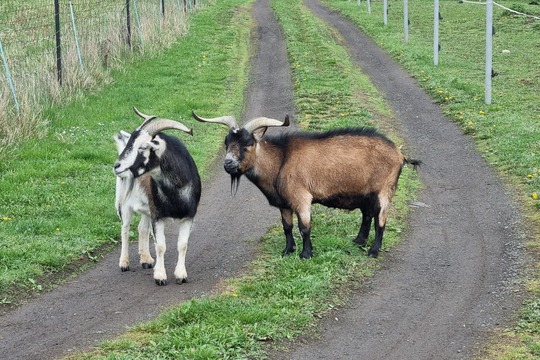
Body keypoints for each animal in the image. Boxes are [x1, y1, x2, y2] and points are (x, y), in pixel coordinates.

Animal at [114, 108, 200, 286]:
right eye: (130, 142)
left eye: (142, 147)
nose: (117, 166)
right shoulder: (158, 215)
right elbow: (160, 245)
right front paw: (160, 276)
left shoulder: (188, 216)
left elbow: (183, 244)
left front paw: (181, 275)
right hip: (124, 204)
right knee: (125, 229)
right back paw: (124, 263)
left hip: (147, 208)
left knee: (142, 228)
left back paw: (146, 259)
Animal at [192, 111, 420, 258]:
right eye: (226, 142)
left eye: (248, 143)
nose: (228, 164)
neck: (280, 160)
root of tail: (400, 155)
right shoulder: (284, 202)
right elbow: (287, 226)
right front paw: (287, 251)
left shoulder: (301, 198)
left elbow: (304, 227)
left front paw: (306, 254)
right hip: (366, 193)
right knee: (367, 214)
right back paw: (359, 241)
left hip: (384, 189)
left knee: (380, 220)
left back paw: (373, 251)